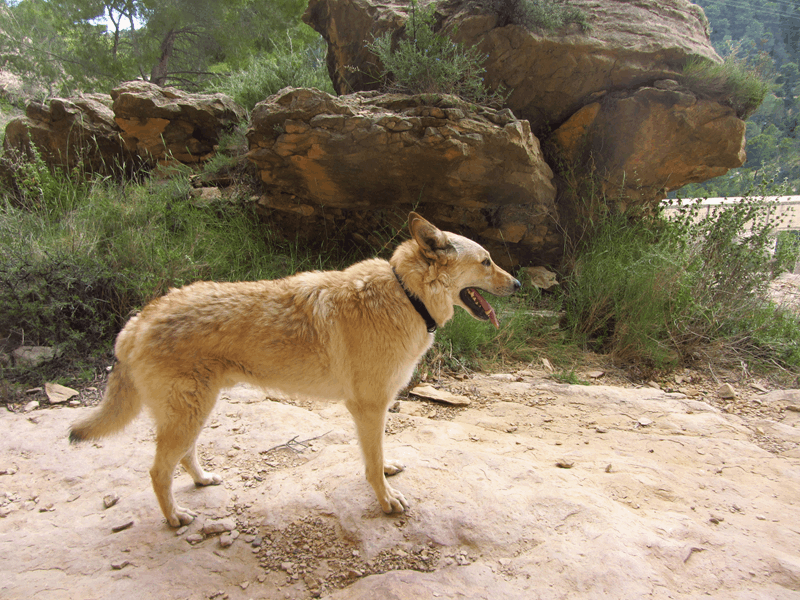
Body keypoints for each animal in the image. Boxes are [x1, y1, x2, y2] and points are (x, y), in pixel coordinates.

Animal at [69, 212, 521, 527]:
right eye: (487, 261)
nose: (518, 285)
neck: (405, 295)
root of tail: (136, 322)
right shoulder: (368, 407)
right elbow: (371, 464)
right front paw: (386, 499)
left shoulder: (374, 410)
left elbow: (377, 455)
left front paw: (388, 470)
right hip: (188, 413)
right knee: (158, 470)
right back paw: (175, 518)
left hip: (195, 412)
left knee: (183, 458)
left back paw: (202, 481)